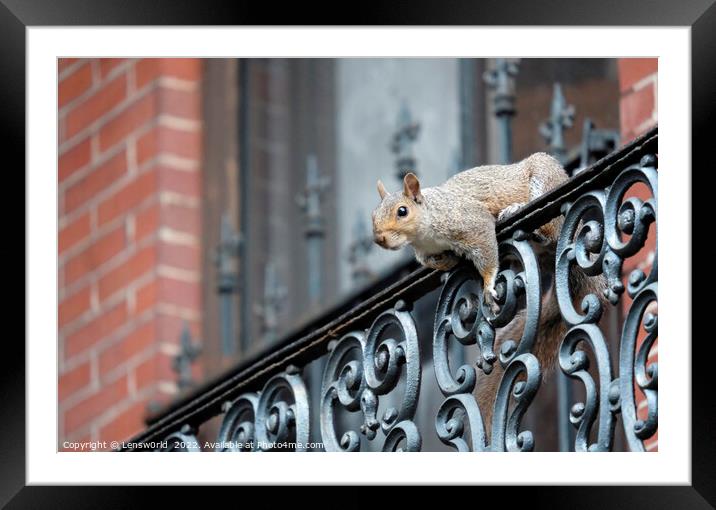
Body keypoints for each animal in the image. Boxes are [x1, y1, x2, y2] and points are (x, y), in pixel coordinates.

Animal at [372, 153, 608, 428]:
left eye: (402, 211)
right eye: (374, 214)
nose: (379, 239)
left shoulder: (469, 221)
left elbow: (485, 246)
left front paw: (487, 284)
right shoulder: (425, 253)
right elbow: (434, 260)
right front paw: (447, 261)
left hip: (544, 180)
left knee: (551, 230)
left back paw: (520, 214)